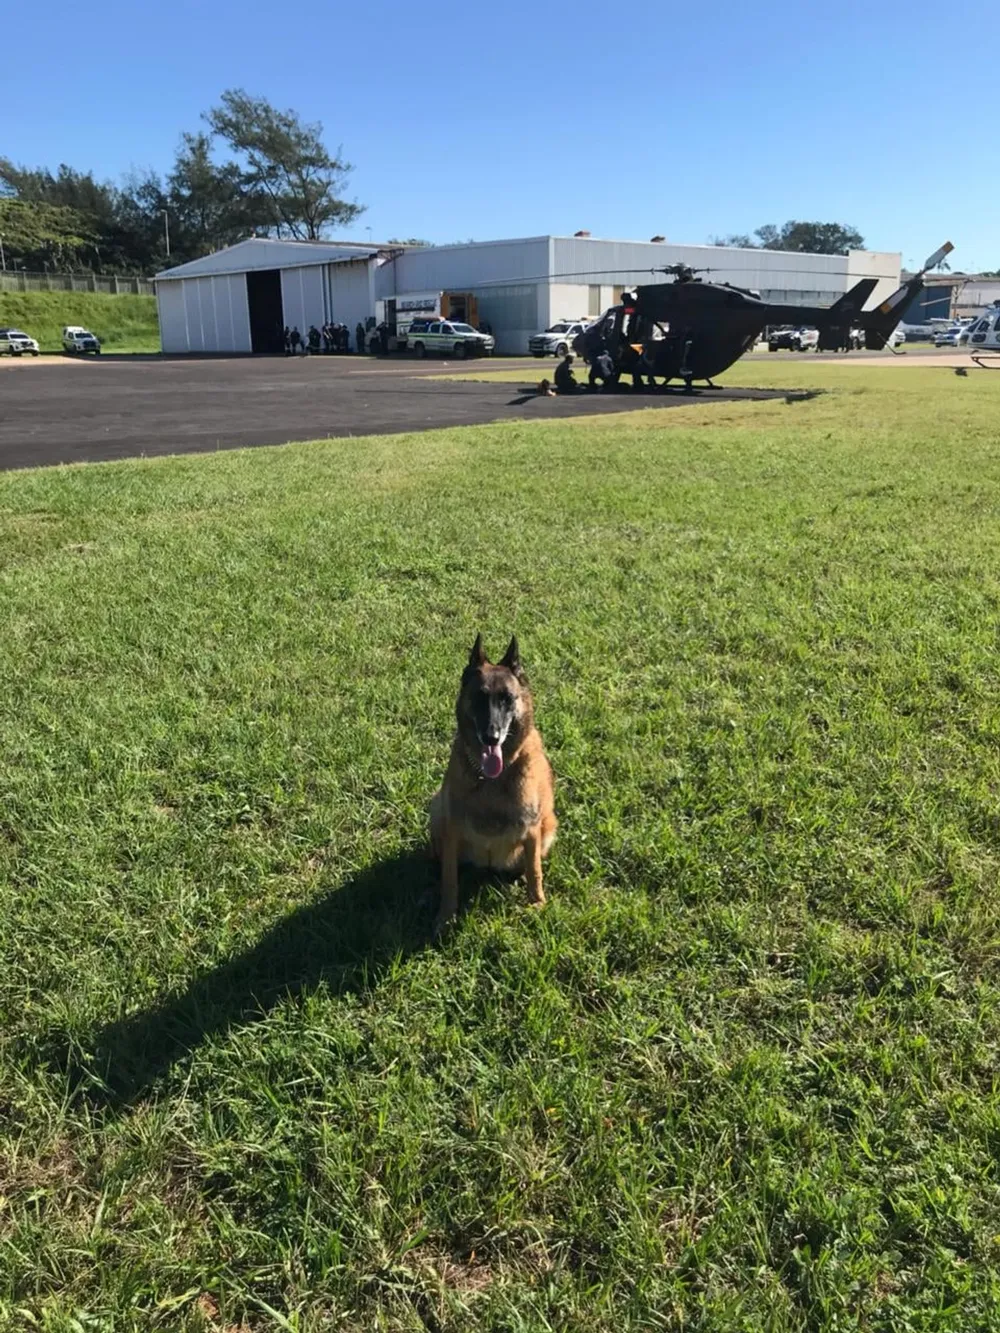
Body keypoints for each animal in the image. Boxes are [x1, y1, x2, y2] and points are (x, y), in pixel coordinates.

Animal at [430, 634, 557, 932]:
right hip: (437, 812)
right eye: (479, 697)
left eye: (507, 699)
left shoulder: (531, 830)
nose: (491, 737)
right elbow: (449, 880)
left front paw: (537, 904)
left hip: (548, 827)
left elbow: (535, 870)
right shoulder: (452, 829)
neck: (491, 781)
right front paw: (445, 915)